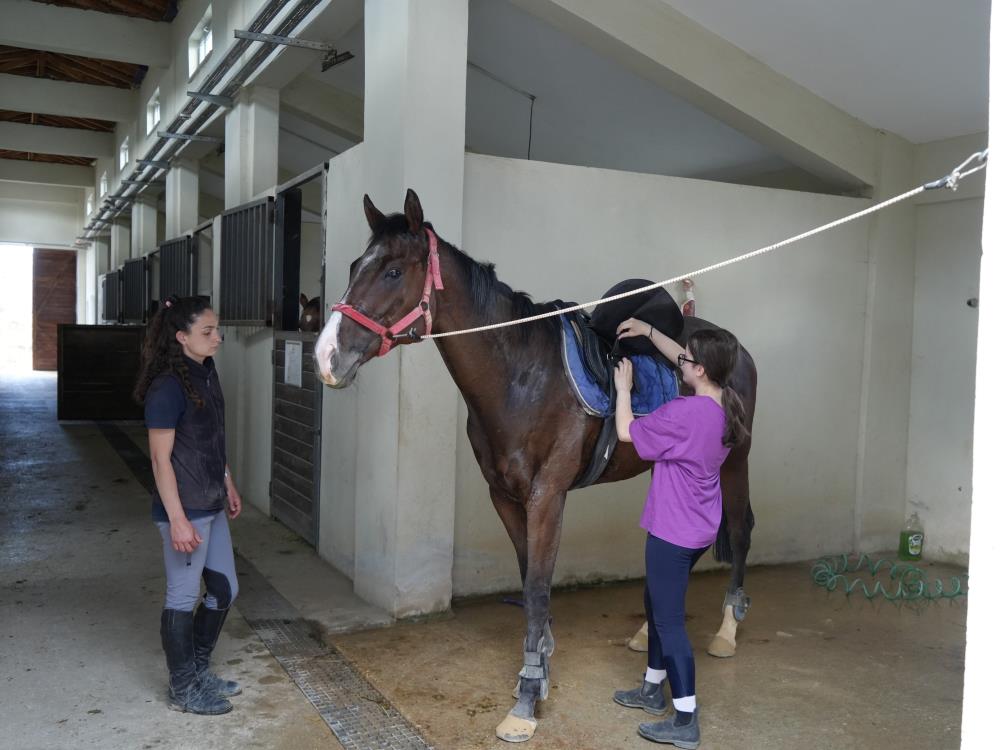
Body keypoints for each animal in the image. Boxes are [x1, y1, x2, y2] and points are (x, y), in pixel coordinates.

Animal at [316, 191, 752, 744]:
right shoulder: (505, 496)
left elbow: (539, 586)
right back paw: (644, 632)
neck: (521, 375)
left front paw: (525, 699)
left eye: (393, 271)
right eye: (355, 265)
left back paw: (727, 631)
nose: (326, 356)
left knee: (737, 529)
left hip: (736, 459)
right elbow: (528, 578)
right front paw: (540, 666)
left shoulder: (548, 495)